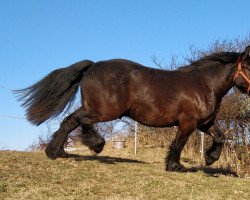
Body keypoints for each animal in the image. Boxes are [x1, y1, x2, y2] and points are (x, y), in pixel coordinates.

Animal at [16, 46, 250, 171]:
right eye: (248, 66)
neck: (203, 83)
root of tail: (93, 66)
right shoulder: (188, 123)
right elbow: (178, 144)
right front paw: (175, 166)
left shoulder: (204, 123)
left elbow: (220, 137)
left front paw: (210, 158)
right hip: (106, 110)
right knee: (81, 121)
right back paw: (95, 145)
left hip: (95, 107)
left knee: (71, 121)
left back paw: (57, 152)